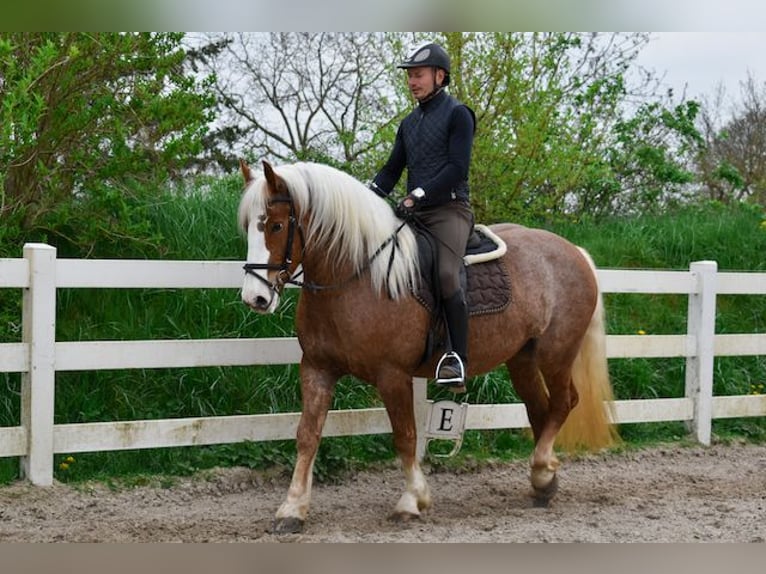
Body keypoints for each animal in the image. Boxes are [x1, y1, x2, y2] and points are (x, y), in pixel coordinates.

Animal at [237, 159, 620, 536]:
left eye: (276, 225)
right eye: (248, 228)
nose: (255, 298)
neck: (358, 274)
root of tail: (573, 251)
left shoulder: (392, 375)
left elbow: (405, 435)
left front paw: (412, 501)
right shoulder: (317, 368)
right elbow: (307, 434)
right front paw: (292, 509)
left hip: (556, 353)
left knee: (563, 402)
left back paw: (541, 469)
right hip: (522, 359)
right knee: (540, 409)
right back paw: (544, 483)